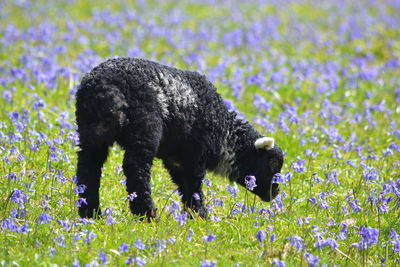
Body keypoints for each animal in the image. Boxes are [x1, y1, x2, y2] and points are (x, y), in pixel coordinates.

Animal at [76, 58, 284, 220]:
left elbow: (184, 186)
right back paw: (147, 215)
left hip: (89, 132)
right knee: (136, 169)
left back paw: (90, 213)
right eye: (272, 164)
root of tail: (104, 87)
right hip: (145, 129)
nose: (275, 192)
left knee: (88, 169)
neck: (226, 135)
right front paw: (201, 216)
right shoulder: (196, 156)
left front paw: (192, 215)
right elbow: (194, 186)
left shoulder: (176, 160)